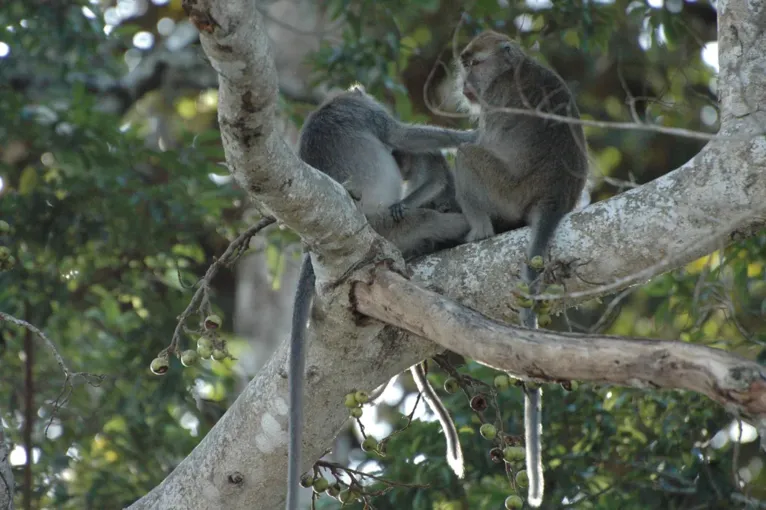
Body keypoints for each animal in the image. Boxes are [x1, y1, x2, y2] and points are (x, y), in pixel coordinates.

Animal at [452, 30, 592, 506]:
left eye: (472, 64)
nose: (463, 85)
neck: (513, 67)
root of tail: (555, 194)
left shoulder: (495, 103)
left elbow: (475, 140)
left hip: (507, 191)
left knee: (467, 155)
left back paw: (477, 228)